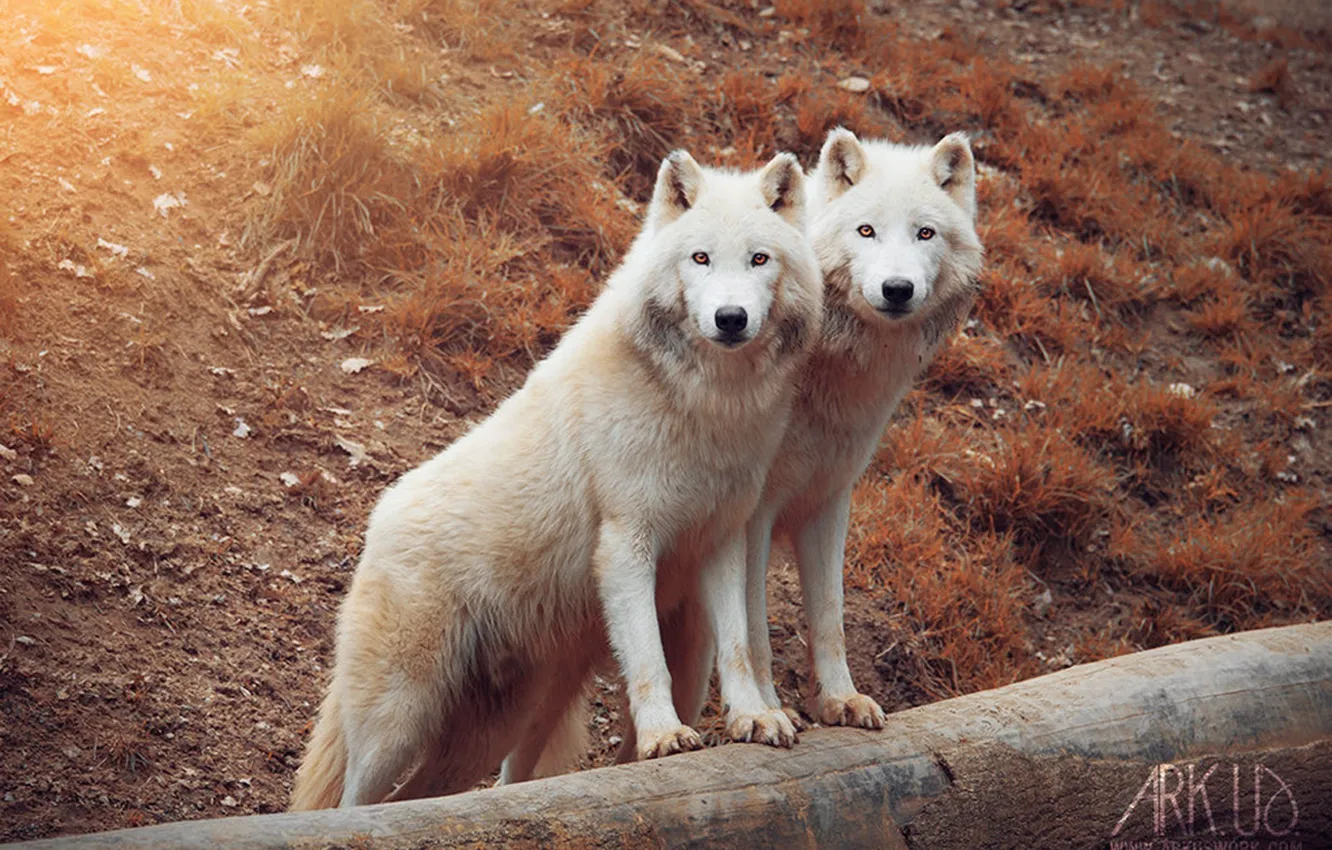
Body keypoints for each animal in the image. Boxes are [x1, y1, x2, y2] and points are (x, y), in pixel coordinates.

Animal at [290, 147, 820, 810]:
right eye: (700, 258)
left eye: (759, 259)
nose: (730, 318)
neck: (706, 406)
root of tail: (378, 519)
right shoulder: (625, 543)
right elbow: (648, 659)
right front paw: (665, 737)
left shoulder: (722, 540)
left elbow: (741, 647)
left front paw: (755, 719)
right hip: (399, 722)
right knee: (355, 804)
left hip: (490, 733)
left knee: (426, 796)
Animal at [692, 126, 985, 746]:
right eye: (866, 230)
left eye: (925, 232)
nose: (897, 288)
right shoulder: (754, 513)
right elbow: (754, 629)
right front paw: (768, 711)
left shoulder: (829, 499)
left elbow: (830, 615)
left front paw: (839, 700)